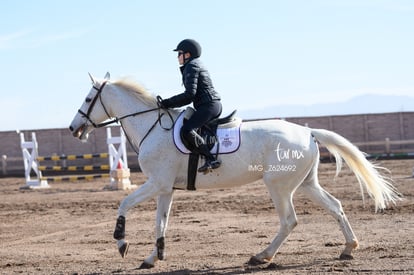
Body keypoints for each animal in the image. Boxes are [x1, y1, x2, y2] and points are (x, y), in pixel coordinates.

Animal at [69, 73, 400, 270]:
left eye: (87, 99)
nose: (74, 128)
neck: (152, 126)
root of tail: (308, 132)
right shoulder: (165, 189)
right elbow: (160, 223)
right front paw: (154, 257)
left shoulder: (155, 183)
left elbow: (124, 203)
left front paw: (122, 243)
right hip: (306, 183)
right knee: (335, 206)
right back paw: (348, 248)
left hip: (278, 186)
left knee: (289, 221)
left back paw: (261, 256)